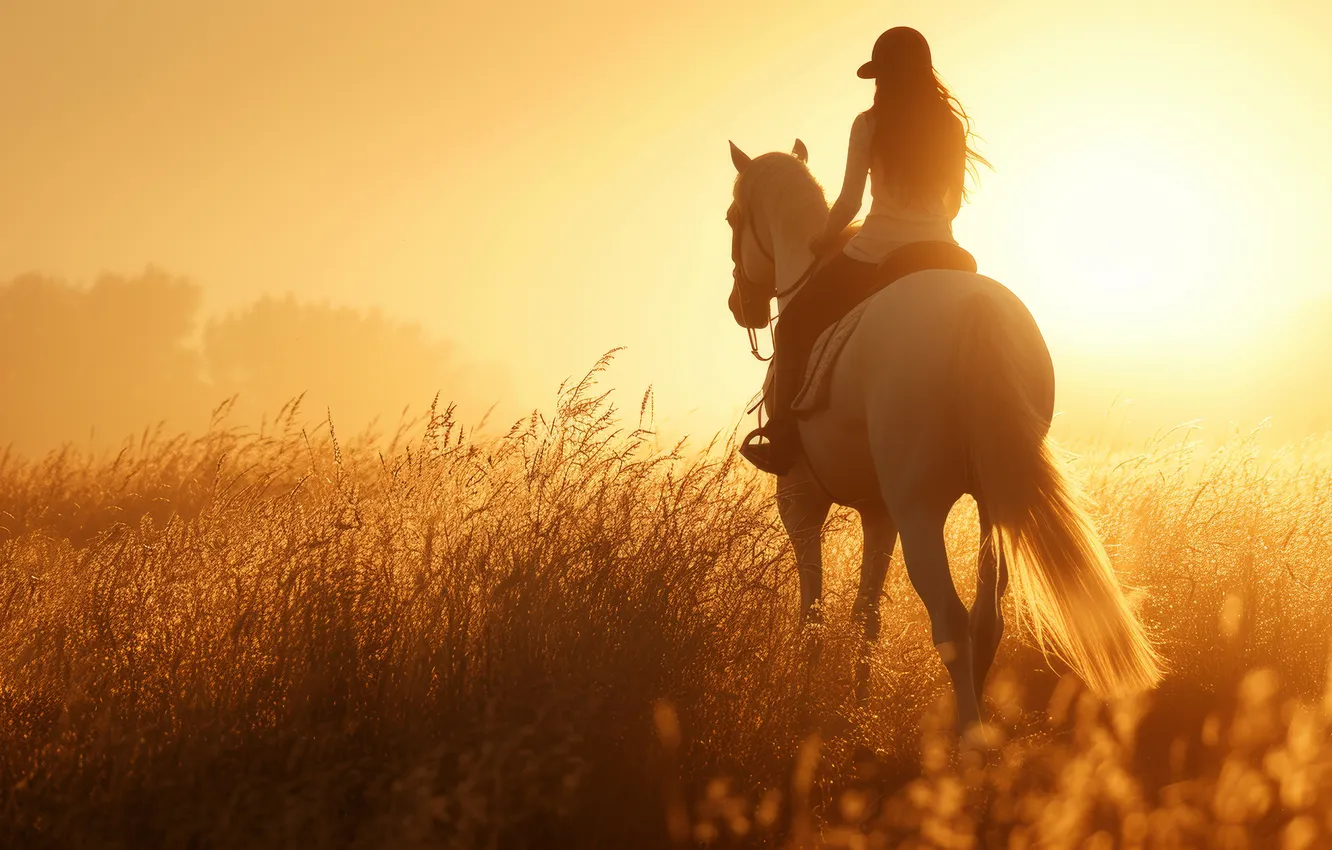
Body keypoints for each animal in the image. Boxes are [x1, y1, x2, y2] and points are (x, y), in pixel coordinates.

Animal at [725, 141, 1162, 733]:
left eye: (731, 218)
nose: (739, 304)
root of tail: (976, 312)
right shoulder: (878, 512)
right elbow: (867, 615)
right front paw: (855, 715)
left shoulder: (800, 501)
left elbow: (812, 617)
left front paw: (802, 711)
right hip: (992, 503)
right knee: (986, 619)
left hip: (920, 511)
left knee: (952, 622)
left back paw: (969, 740)